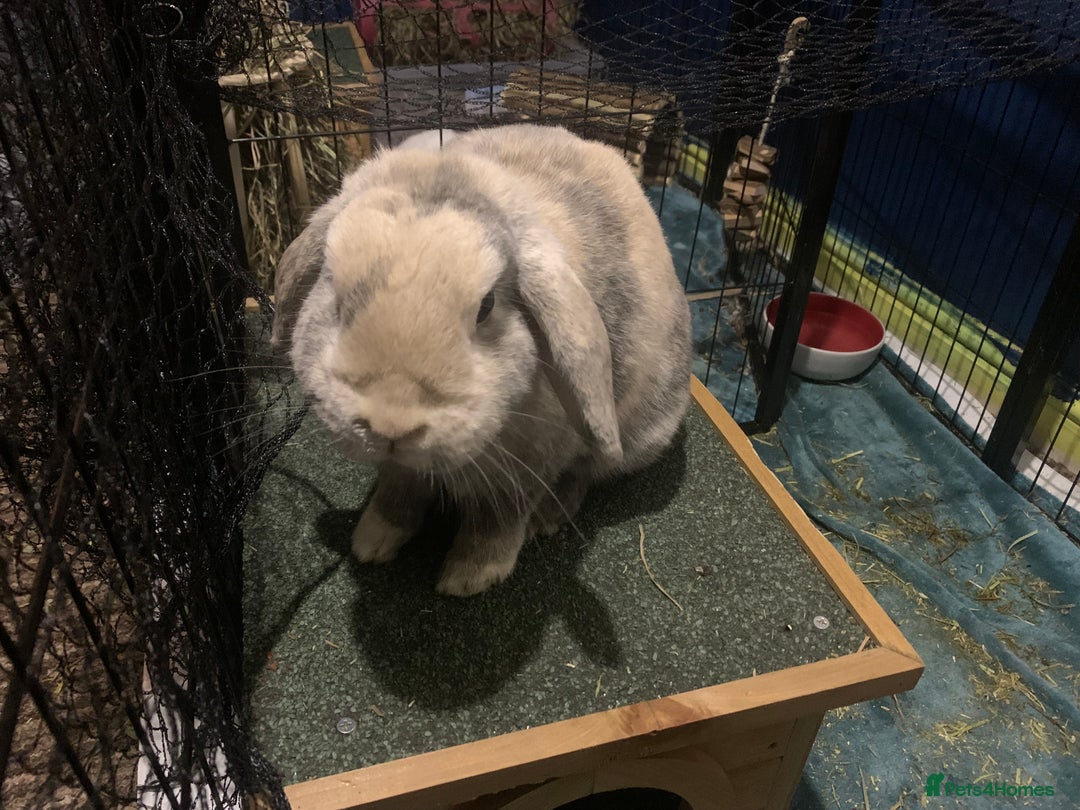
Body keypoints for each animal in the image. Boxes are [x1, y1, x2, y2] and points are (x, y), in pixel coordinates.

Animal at [271, 124, 691, 597]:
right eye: (338, 299)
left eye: (487, 306)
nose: (391, 425)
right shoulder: (399, 469)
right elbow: (396, 492)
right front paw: (372, 541)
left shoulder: (528, 464)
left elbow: (499, 519)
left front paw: (469, 578)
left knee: (588, 471)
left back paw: (549, 517)